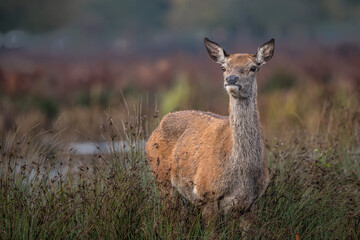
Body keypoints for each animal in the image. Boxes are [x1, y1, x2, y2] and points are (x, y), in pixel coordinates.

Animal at [145, 37, 274, 229]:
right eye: (223, 67)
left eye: (253, 67)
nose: (231, 79)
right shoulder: (207, 194)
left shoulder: (251, 203)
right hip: (161, 178)